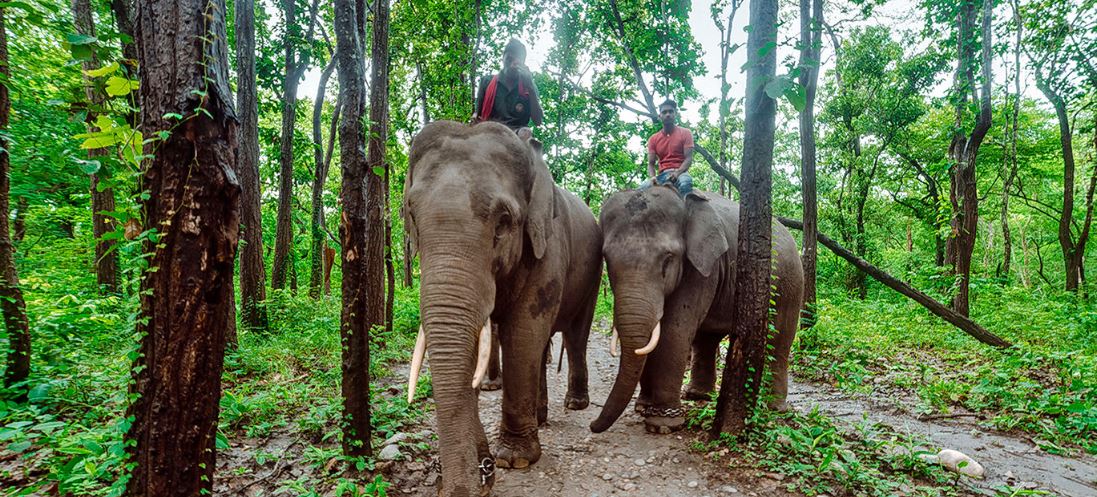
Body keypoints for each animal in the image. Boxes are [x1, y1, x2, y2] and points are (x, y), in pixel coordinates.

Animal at [401, 121, 601, 495]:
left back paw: (575, 403)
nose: (483, 472)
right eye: (412, 215)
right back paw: (540, 416)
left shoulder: (547, 245)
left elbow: (523, 332)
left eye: (504, 221)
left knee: (574, 335)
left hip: (594, 272)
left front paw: (515, 459)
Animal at [592, 185, 807, 434]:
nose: (592, 425)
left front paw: (662, 424)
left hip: (791, 284)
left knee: (780, 340)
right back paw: (698, 395)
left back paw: (775, 406)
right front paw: (643, 407)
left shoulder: (702, 268)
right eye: (606, 258)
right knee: (706, 339)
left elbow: (674, 332)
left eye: (668, 259)